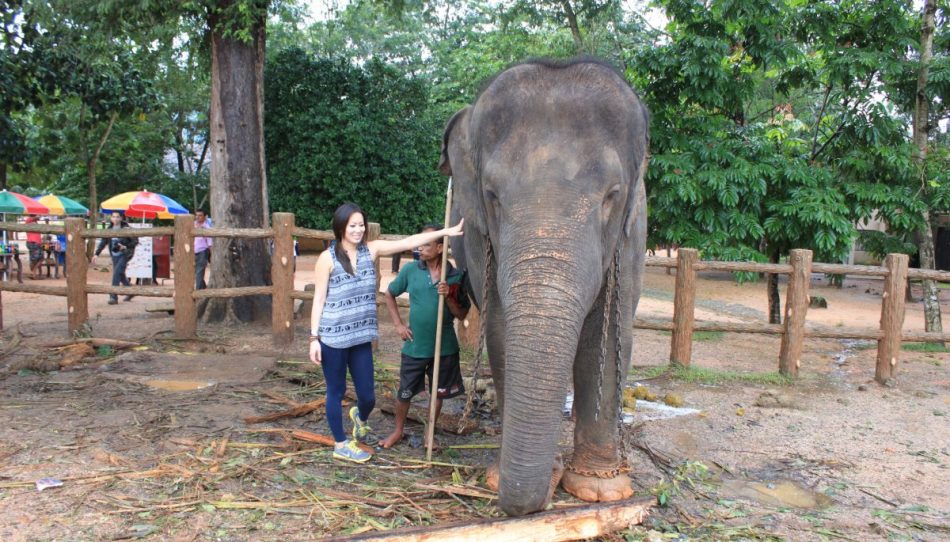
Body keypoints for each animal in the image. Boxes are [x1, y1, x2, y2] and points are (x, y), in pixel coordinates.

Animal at [436, 59, 648, 520]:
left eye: (612, 195)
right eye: (492, 196)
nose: (538, 498)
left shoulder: (633, 231)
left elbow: (609, 333)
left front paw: (599, 490)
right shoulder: (479, 235)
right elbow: (500, 331)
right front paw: (499, 478)